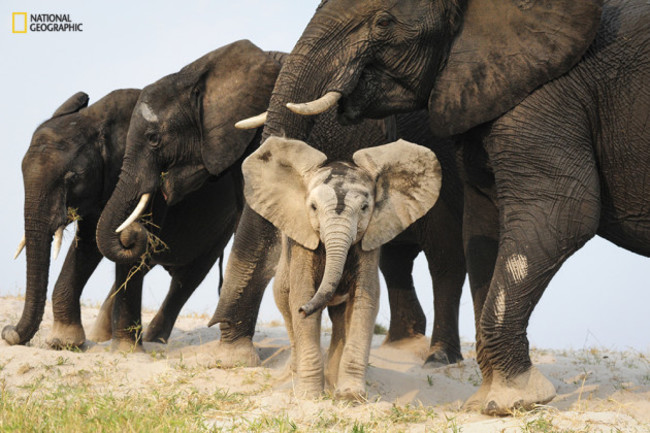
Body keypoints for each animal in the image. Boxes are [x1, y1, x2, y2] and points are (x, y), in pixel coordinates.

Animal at [243, 136, 440, 398]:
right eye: (313, 207)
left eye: (365, 208)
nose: (304, 310)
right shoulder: (303, 244)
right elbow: (302, 294)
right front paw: (310, 397)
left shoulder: (369, 241)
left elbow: (364, 301)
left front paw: (350, 397)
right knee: (287, 307)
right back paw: (295, 377)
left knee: (339, 319)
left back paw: (332, 382)